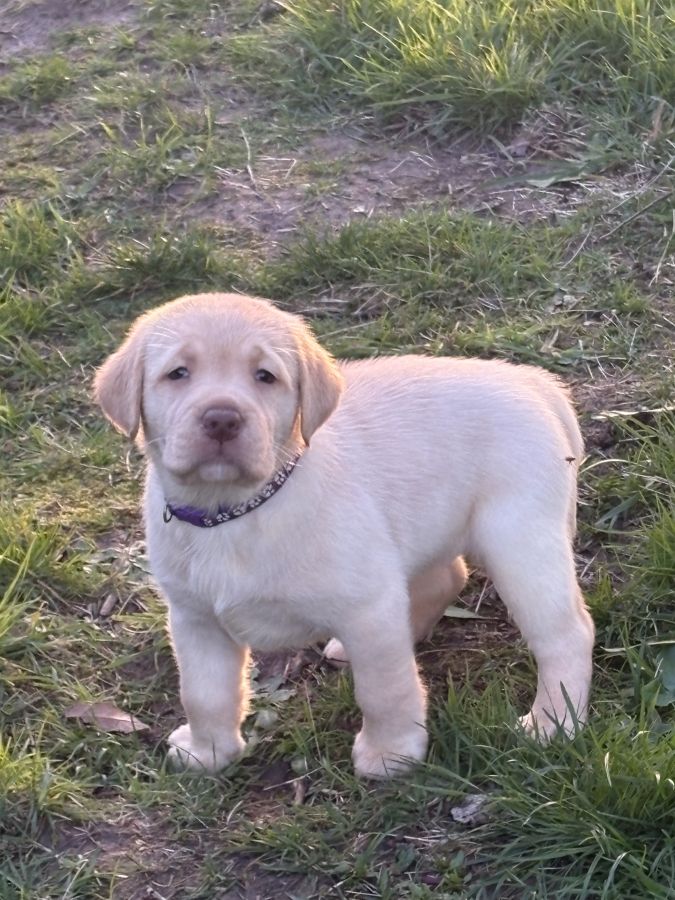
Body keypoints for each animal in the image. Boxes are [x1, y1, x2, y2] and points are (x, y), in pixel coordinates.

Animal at [95, 292, 594, 778]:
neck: (235, 511)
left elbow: (384, 688)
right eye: (177, 373)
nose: (222, 419)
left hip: (520, 542)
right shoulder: (195, 618)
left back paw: (553, 723)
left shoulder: (369, 606)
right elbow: (203, 693)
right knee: (447, 577)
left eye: (265, 376)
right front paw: (209, 751)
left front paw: (391, 753)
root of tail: (530, 379)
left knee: (567, 634)